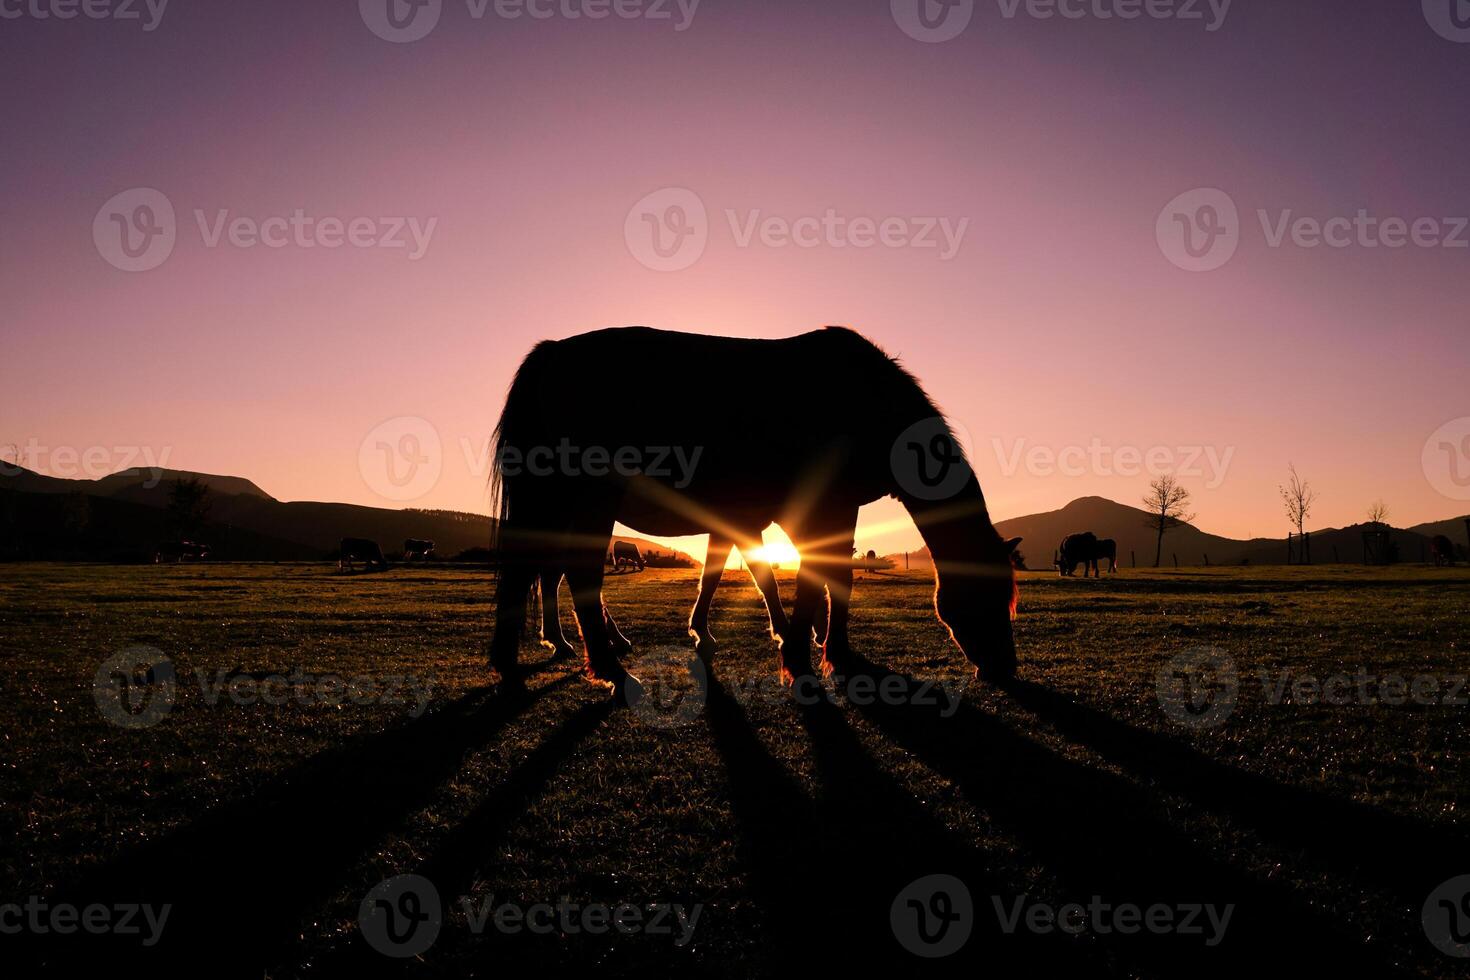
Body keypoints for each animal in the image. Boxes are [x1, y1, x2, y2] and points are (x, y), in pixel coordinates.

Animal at [488, 329, 1029, 696]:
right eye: (989, 596)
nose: (1004, 669)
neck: (866, 403)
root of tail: (552, 351)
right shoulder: (816, 509)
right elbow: (805, 577)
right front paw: (801, 656)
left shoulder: (775, 516)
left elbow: (757, 575)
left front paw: (825, 649)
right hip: (589, 497)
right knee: (574, 573)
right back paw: (610, 670)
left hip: (553, 501)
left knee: (534, 571)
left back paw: (522, 658)